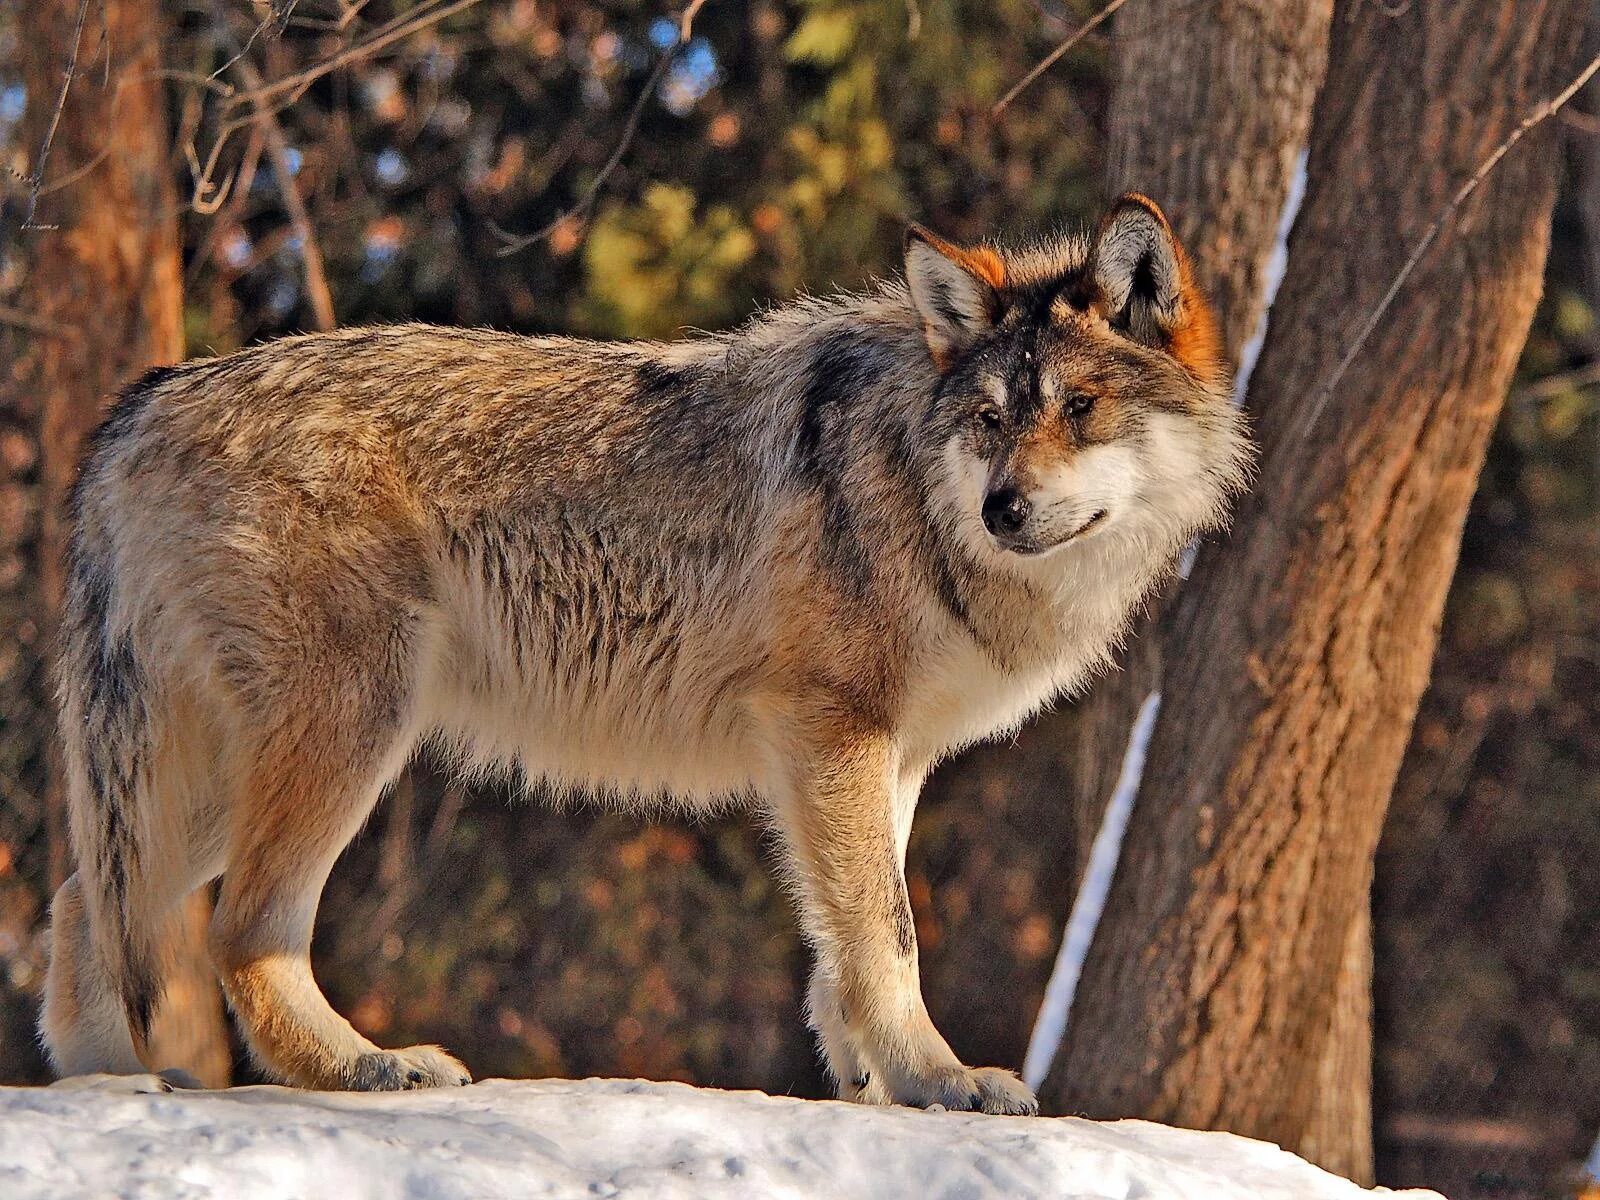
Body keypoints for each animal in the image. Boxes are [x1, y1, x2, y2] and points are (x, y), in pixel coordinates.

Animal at [34, 192, 1235, 1113]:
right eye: (989, 419)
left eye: (1080, 409)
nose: (1001, 509)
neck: (907, 485)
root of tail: (144, 402)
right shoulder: (831, 731)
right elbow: (886, 934)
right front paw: (937, 1082)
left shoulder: (875, 757)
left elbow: (845, 941)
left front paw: (868, 1086)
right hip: (347, 736)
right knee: (238, 934)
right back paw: (366, 1069)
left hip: (216, 777)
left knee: (83, 900)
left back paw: (109, 1089)